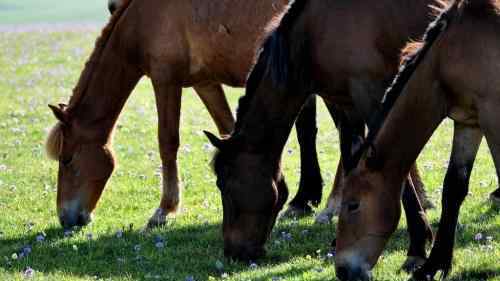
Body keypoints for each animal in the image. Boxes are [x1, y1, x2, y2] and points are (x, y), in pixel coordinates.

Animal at [46, 0, 328, 229]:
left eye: (67, 160)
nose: (65, 218)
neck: (142, 20)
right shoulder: (205, 83)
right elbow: (228, 128)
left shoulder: (165, 81)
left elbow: (167, 142)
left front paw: (164, 209)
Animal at [207, 0, 446, 262]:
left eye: (224, 184)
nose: (233, 251)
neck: (314, 32)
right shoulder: (348, 106)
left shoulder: (372, 97)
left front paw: (418, 244)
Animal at [336, 1, 500, 278]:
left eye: (353, 205)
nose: (342, 270)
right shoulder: (469, 122)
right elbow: (454, 187)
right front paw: (434, 264)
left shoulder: (493, 114)